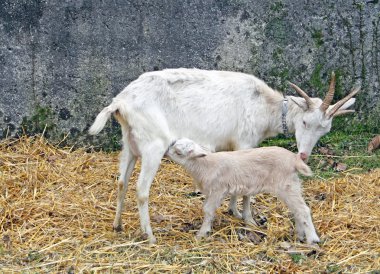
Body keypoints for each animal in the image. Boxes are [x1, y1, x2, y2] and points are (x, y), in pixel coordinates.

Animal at [89, 68, 360, 244]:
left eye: (325, 129)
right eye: (304, 121)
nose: (303, 154)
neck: (264, 105)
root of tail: (120, 102)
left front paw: (232, 210)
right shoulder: (245, 141)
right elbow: (248, 186)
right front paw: (246, 217)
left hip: (129, 144)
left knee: (121, 182)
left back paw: (118, 225)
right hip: (153, 146)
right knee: (142, 190)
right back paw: (150, 235)